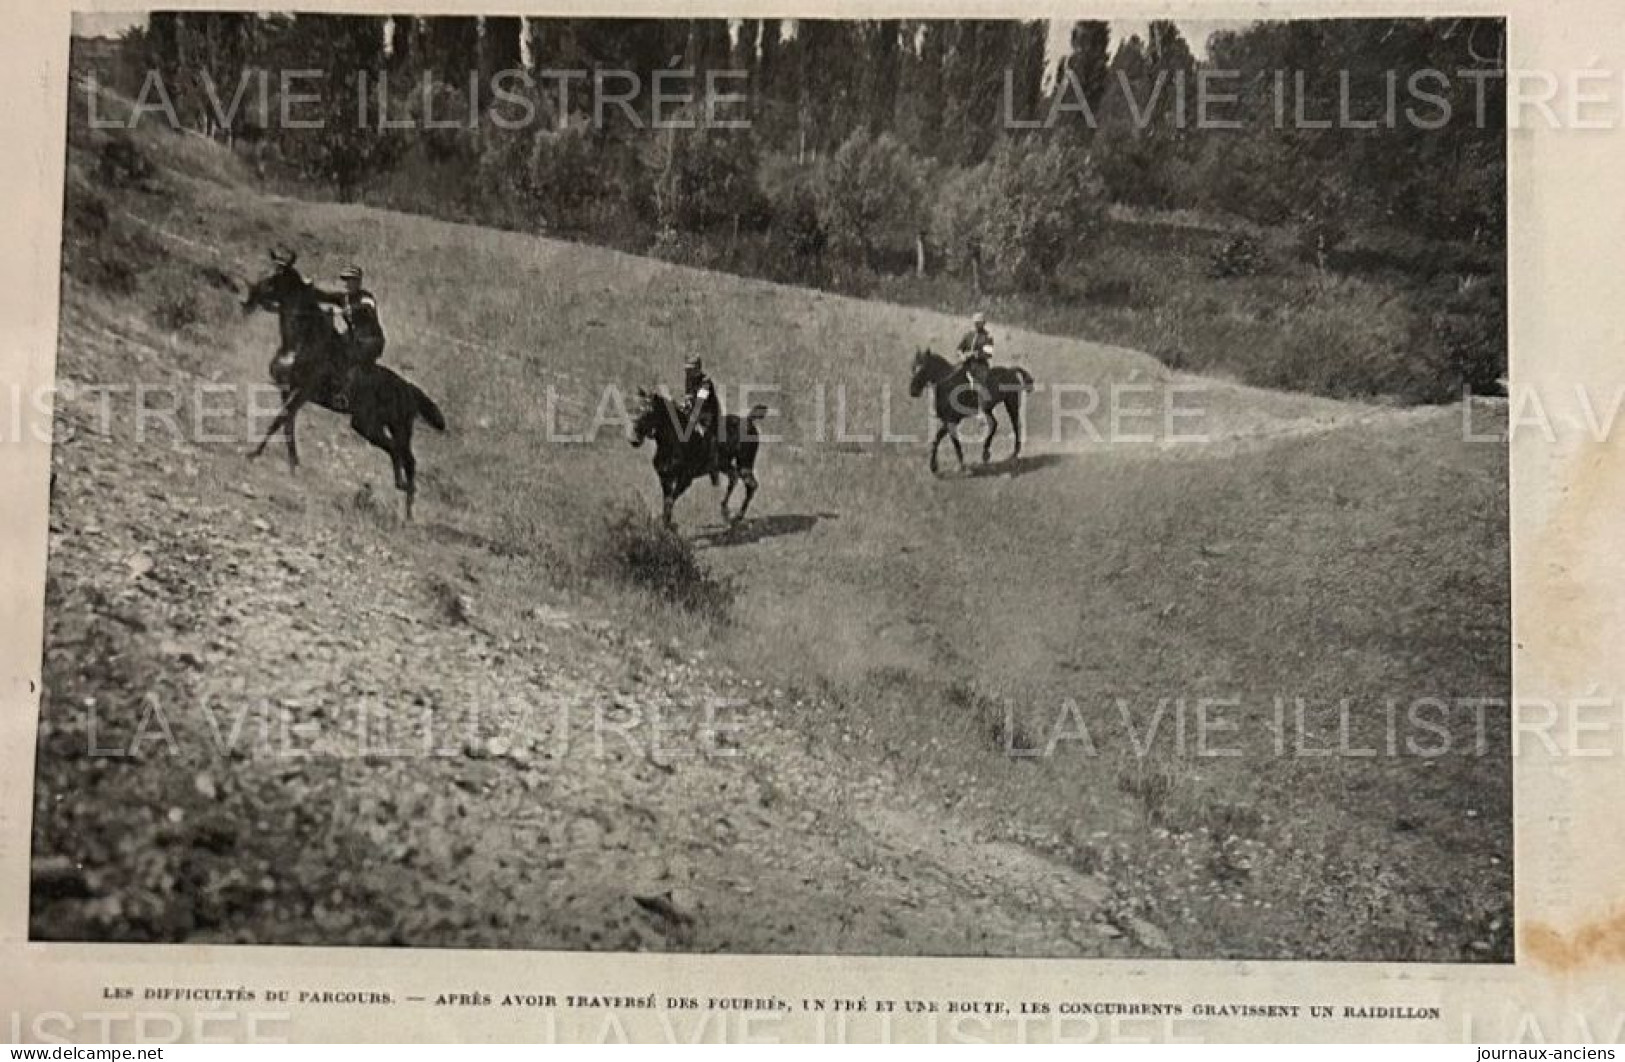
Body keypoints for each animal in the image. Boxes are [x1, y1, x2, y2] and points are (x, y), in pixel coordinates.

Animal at [240, 250, 448, 522]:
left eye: (276, 276)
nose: (248, 299)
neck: (303, 340)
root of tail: (409, 388)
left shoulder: (303, 391)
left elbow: (279, 421)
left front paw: (254, 454)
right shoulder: (287, 390)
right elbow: (287, 426)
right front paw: (293, 464)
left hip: (394, 427)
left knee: (407, 459)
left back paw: (408, 508)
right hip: (369, 425)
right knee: (397, 453)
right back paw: (402, 493)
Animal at [627, 391, 767, 532]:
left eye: (648, 413)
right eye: (634, 410)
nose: (634, 440)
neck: (674, 442)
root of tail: (749, 420)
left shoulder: (685, 480)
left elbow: (670, 501)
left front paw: (669, 527)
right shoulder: (665, 479)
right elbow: (667, 501)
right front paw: (666, 526)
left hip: (745, 464)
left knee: (751, 485)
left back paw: (736, 516)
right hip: (725, 465)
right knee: (735, 478)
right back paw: (727, 513)